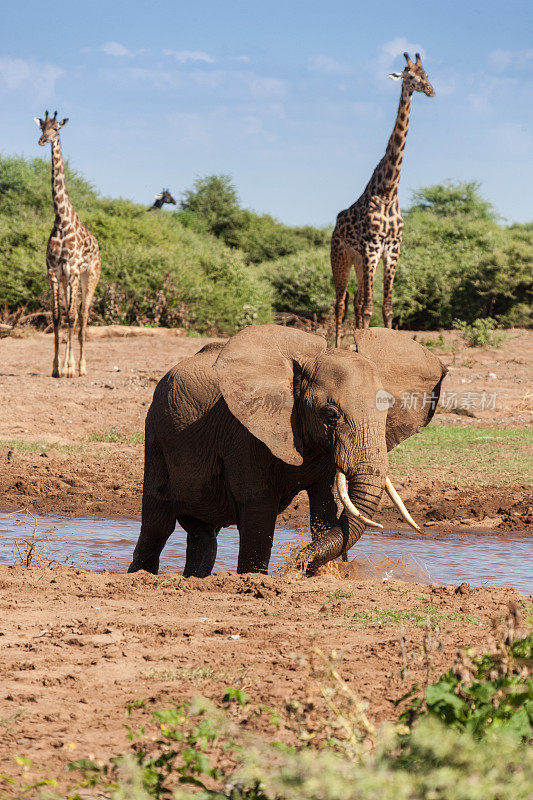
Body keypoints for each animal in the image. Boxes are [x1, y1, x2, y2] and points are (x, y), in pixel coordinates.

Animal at [128, 322, 444, 580]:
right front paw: (255, 578)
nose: (295, 562)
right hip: (156, 434)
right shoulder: (245, 433)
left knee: (204, 537)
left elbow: (325, 508)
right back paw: (139, 575)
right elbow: (259, 507)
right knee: (158, 523)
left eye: (388, 410)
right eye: (331, 415)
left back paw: (193, 578)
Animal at [330, 51, 434, 346]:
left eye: (426, 75)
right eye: (410, 76)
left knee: (354, 300)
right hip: (341, 257)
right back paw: (337, 346)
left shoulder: (392, 249)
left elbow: (387, 308)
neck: (388, 191)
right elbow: (369, 308)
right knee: (340, 303)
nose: (430, 91)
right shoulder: (371, 248)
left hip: (358, 261)